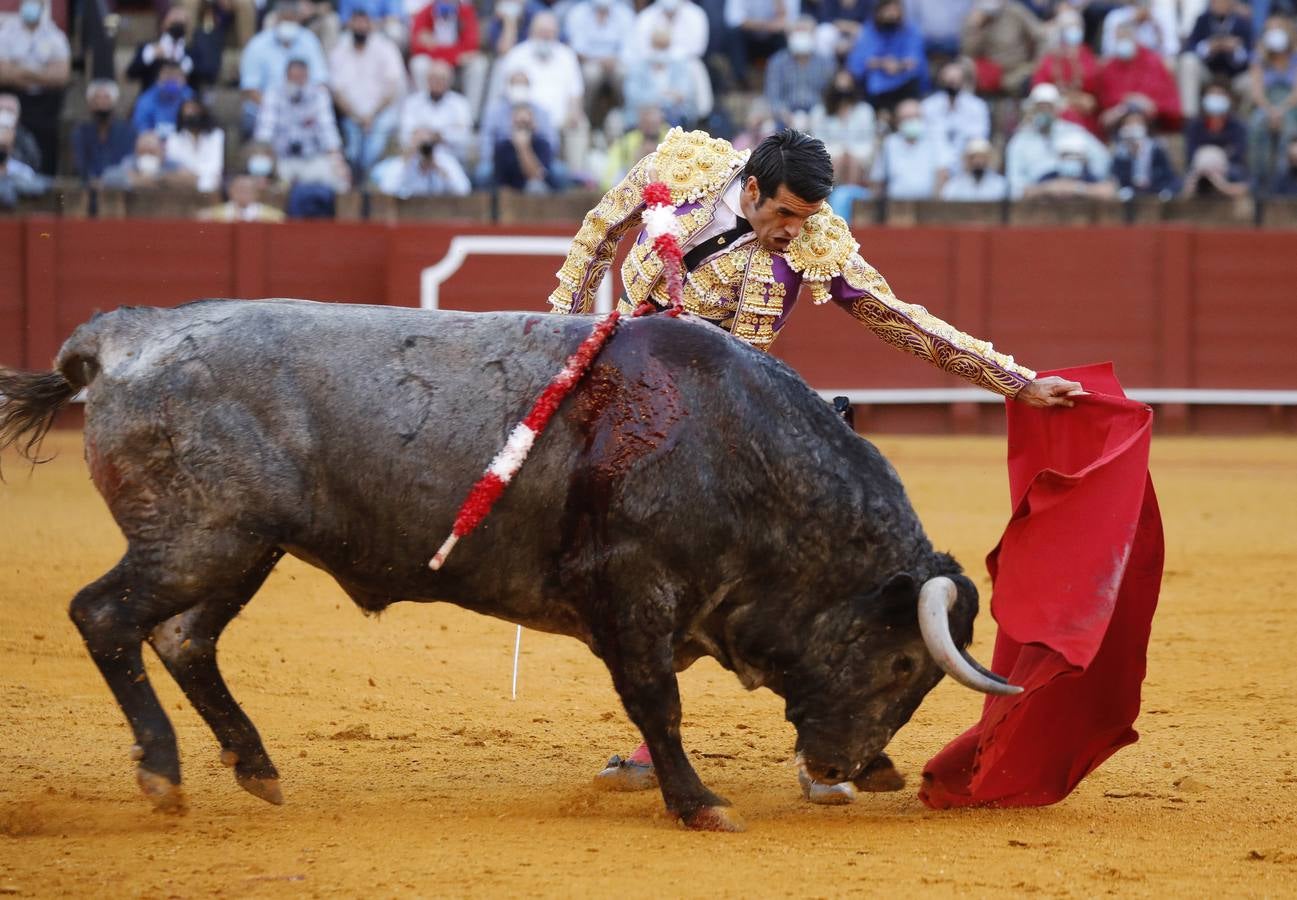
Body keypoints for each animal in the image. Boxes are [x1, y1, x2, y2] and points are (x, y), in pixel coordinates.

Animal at [0, 300, 1016, 829]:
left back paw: (254, 767)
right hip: (203, 538)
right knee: (106, 616)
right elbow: (657, 701)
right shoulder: (629, 593)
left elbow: (660, 701)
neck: (741, 451)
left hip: (241, 547)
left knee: (183, 639)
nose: (854, 767)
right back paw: (163, 774)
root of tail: (124, 338)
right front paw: (699, 805)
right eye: (902, 663)